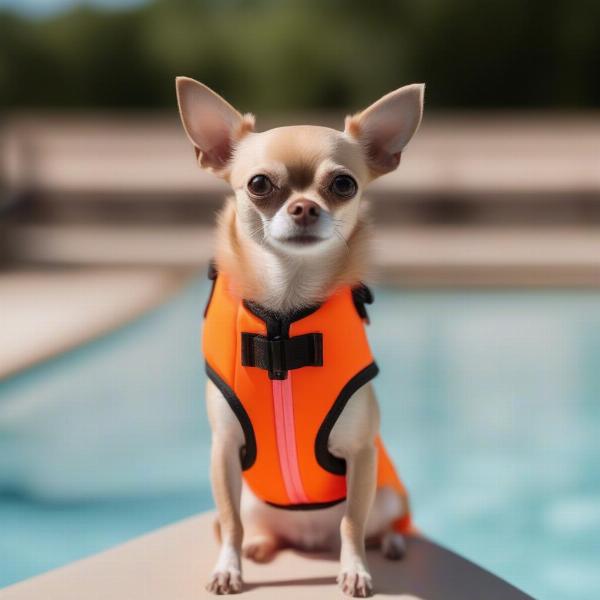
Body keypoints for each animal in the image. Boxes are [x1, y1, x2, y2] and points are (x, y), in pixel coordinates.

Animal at [176, 78, 424, 596]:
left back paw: (390, 543)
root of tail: (311, 543)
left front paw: (355, 570)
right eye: (259, 184)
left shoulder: (362, 455)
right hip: (256, 498)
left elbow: (352, 521)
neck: (286, 308)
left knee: (380, 522)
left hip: (389, 493)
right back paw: (261, 546)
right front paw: (228, 568)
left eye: (344, 184)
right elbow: (229, 521)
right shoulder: (223, 452)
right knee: (253, 525)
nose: (306, 206)